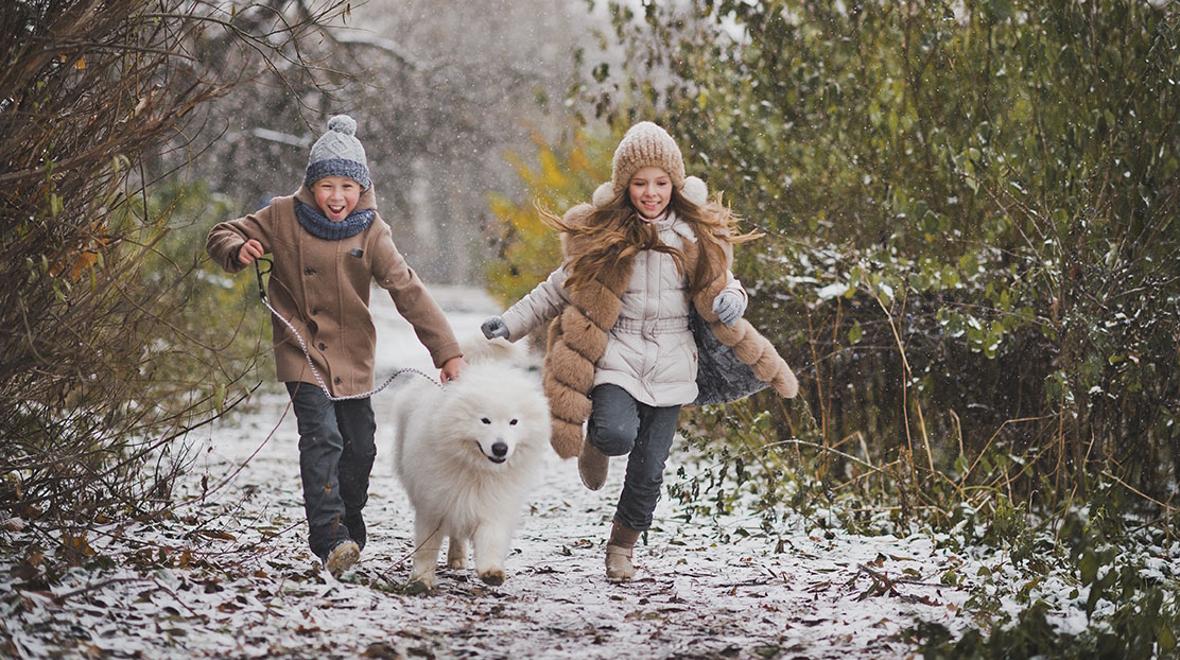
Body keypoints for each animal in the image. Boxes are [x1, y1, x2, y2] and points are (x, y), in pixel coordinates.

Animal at [391, 337, 547, 590]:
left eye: (514, 422)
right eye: (485, 420)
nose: (500, 448)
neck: (478, 469)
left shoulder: (492, 504)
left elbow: (491, 538)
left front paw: (492, 571)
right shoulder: (433, 504)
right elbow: (427, 547)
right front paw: (421, 579)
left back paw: (457, 558)